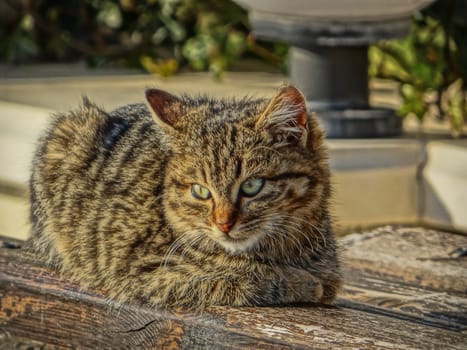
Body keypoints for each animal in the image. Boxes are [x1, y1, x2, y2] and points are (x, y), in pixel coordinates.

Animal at [27, 85, 342, 308]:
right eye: (200, 191)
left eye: (252, 186)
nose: (223, 224)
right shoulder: (144, 273)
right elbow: (242, 276)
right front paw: (300, 282)